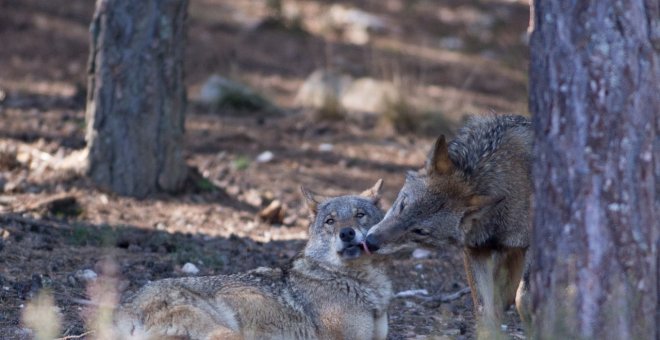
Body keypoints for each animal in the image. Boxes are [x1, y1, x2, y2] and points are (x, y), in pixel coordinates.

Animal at [364, 115, 532, 334]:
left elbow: (524, 301)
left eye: (420, 231)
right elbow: (484, 309)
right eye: (402, 205)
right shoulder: (475, 250)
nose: (370, 242)